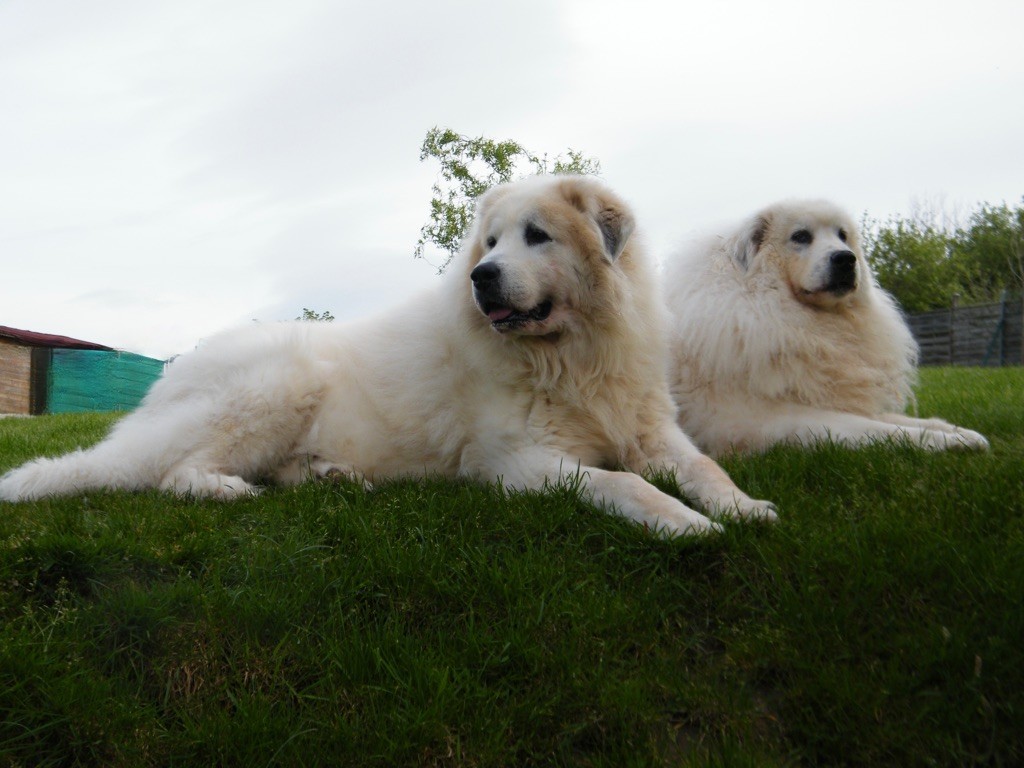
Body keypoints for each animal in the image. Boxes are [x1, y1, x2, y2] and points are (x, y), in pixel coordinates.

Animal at [0, 175, 774, 536]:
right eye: (492, 242)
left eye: (537, 237)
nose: (480, 276)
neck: (571, 356)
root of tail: (171, 373)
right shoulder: (516, 463)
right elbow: (625, 483)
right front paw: (687, 526)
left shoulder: (653, 431)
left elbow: (702, 467)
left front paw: (743, 507)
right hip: (278, 381)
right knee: (172, 474)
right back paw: (228, 489)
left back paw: (331, 477)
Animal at [659, 198, 987, 456]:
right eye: (801, 236)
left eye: (843, 236)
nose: (846, 259)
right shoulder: (771, 419)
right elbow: (878, 429)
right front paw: (942, 441)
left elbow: (893, 418)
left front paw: (961, 433)